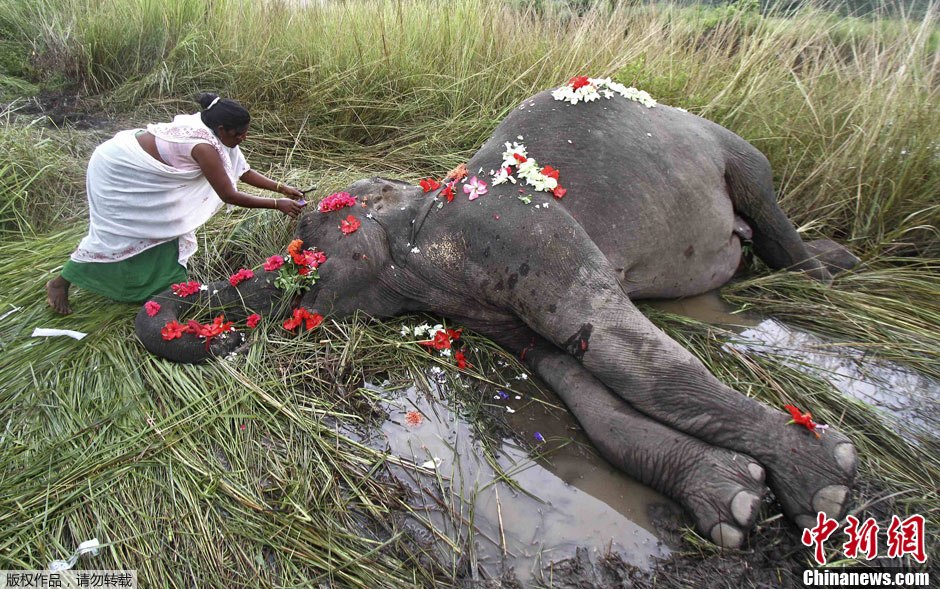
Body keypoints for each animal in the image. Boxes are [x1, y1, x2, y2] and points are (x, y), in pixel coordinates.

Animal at [136, 81, 858, 549]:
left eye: (310, 233)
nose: (198, 326)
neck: (422, 221)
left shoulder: (518, 233)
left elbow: (622, 351)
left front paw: (824, 484)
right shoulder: (488, 302)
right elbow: (575, 378)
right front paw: (735, 499)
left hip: (727, 147)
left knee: (762, 195)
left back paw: (829, 268)